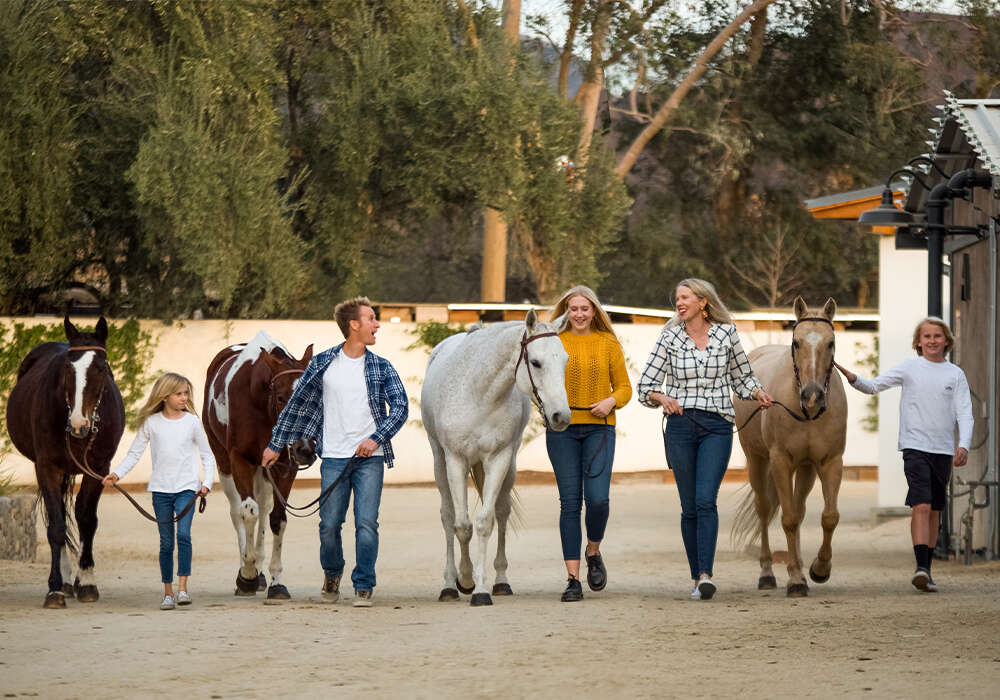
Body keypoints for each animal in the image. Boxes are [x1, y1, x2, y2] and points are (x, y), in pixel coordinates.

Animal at [5, 318, 125, 608]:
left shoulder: (99, 469)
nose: (79, 424)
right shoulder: (48, 468)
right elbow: (57, 527)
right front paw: (55, 589)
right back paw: (66, 580)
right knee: (56, 514)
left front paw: (88, 582)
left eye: (101, 367)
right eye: (68, 368)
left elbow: (87, 520)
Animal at [203, 330, 312, 600]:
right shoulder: (240, 459)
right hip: (223, 461)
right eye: (282, 397)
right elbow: (247, 513)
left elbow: (277, 519)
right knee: (238, 511)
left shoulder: (284, 466)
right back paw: (248, 568)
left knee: (263, 508)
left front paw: (276, 581)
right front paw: (248, 574)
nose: (305, 449)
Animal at [418, 312, 568, 608]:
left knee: (502, 512)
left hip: (509, 468)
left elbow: (485, 522)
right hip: (440, 462)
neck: (479, 394)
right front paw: (465, 580)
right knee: (448, 516)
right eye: (536, 362)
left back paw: (500, 581)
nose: (561, 416)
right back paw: (450, 584)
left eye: (565, 360)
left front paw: (481, 589)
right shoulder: (455, 460)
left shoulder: (499, 459)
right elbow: (462, 525)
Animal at [732, 296, 848, 596]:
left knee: (799, 508)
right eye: (796, 342)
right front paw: (795, 578)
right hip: (757, 460)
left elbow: (829, 516)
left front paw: (819, 570)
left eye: (831, 342)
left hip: (805, 468)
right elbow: (788, 520)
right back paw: (767, 573)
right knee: (764, 509)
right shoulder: (780, 461)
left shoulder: (830, 461)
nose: (813, 395)